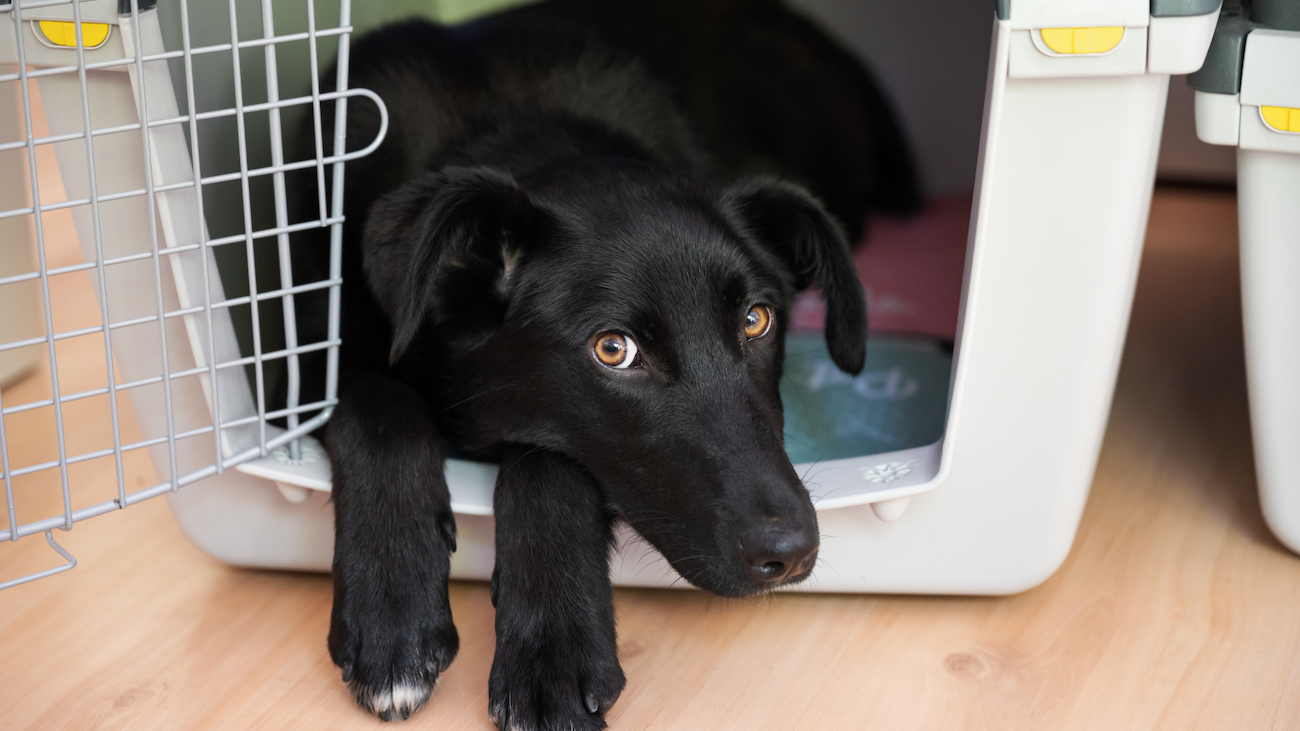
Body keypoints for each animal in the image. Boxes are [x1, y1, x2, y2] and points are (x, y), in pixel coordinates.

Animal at [287, 4, 915, 723]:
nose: (789, 553)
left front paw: (553, 653)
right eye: (613, 349)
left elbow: (548, 463)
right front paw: (392, 611)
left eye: (756, 319)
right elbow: (378, 407)